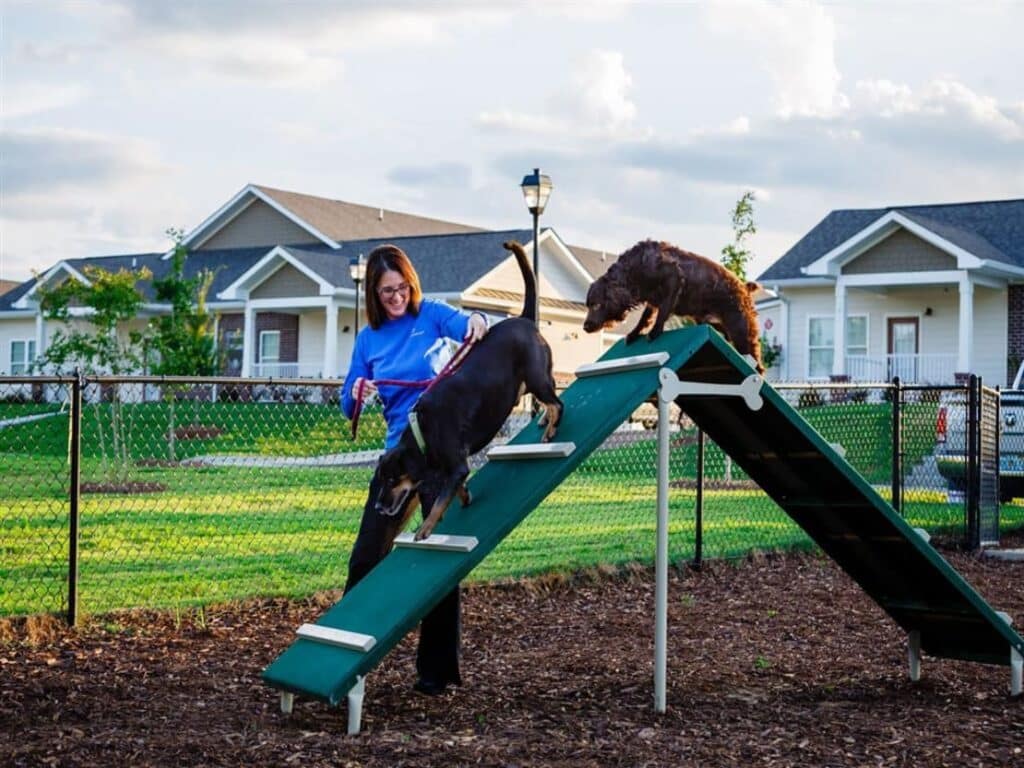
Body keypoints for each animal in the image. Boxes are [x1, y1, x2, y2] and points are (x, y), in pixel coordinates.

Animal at [374, 240, 561, 540]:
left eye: (393, 479)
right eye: (381, 479)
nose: (378, 507)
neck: (423, 432)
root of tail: (523, 319)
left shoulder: (457, 463)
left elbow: (441, 500)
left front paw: (425, 529)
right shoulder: (449, 468)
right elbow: (454, 486)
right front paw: (464, 497)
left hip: (535, 377)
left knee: (557, 403)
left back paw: (551, 429)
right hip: (525, 384)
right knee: (552, 395)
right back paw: (545, 420)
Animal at [585, 239, 761, 374]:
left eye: (596, 305)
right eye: (588, 305)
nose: (585, 327)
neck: (635, 269)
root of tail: (744, 288)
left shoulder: (673, 277)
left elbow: (663, 311)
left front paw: (655, 332)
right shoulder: (652, 299)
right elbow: (644, 318)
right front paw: (634, 334)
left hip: (740, 331)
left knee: (758, 363)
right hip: (710, 322)